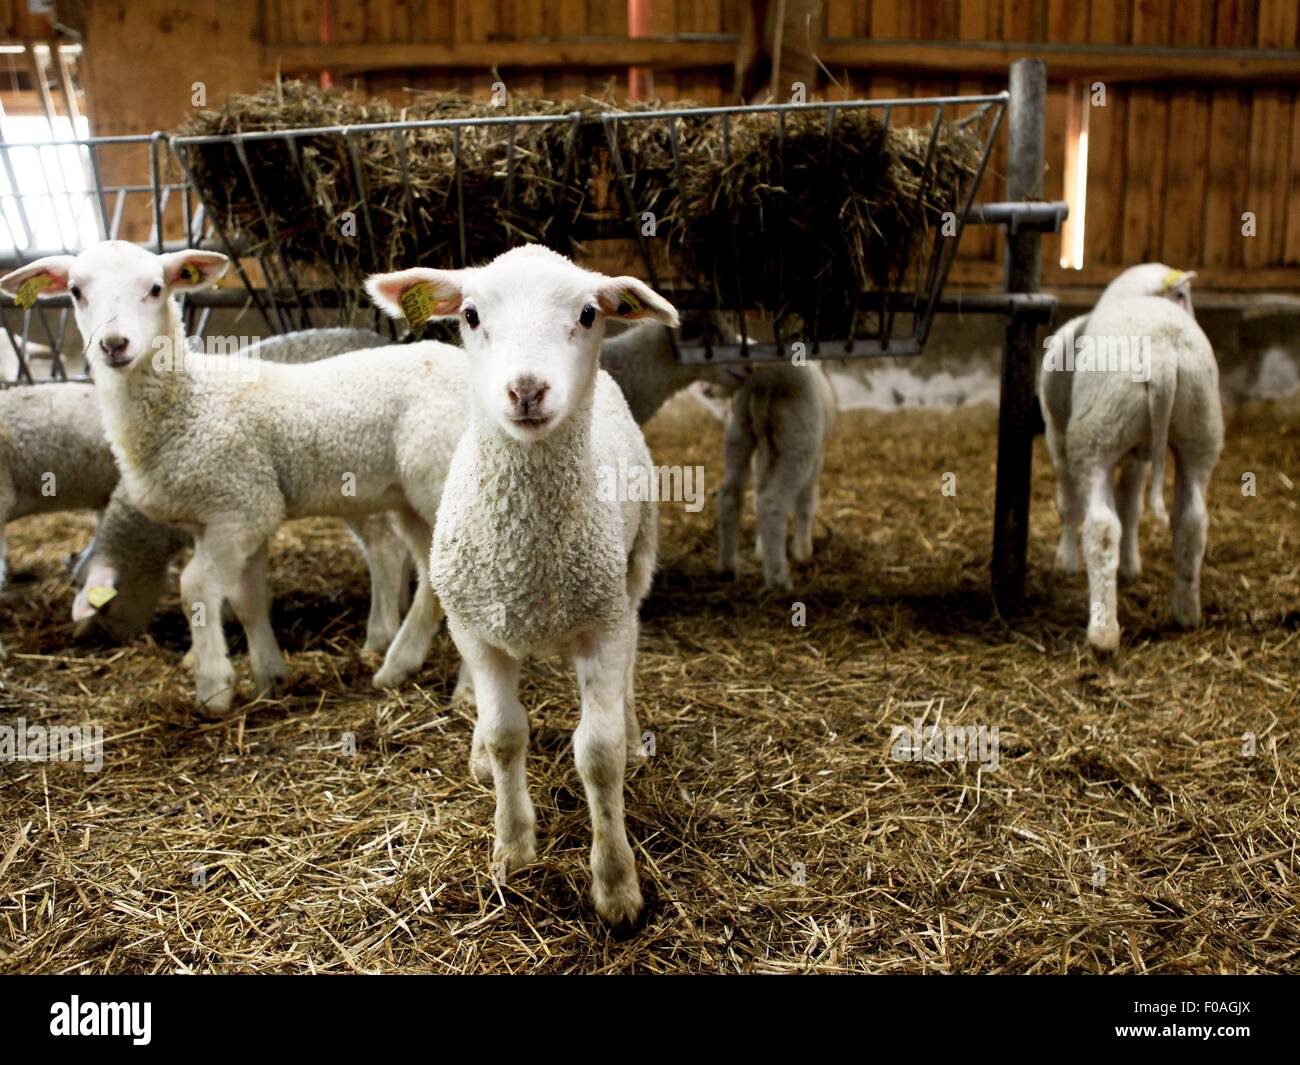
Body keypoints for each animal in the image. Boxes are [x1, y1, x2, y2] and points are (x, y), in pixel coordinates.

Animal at [364, 245, 676, 931]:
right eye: (471, 314)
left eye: (588, 313)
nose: (527, 390)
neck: (525, 552)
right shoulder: (476, 628)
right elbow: (507, 734)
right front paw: (512, 850)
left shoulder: (603, 621)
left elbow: (599, 754)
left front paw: (617, 888)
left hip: (635, 567)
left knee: (631, 661)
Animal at [1034, 262, 1216, 652]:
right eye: (1182, 295)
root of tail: (1162, 356)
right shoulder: (1140, 454)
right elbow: (1131, 503)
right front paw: (1131, 567)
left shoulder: (1057, 434)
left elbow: (1068, 504)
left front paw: (1065, 561)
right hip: (1200, 430)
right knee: (1191, 522)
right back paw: (1186, 613)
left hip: (1096, 434)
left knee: (1102, 527)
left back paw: (1103, 633)